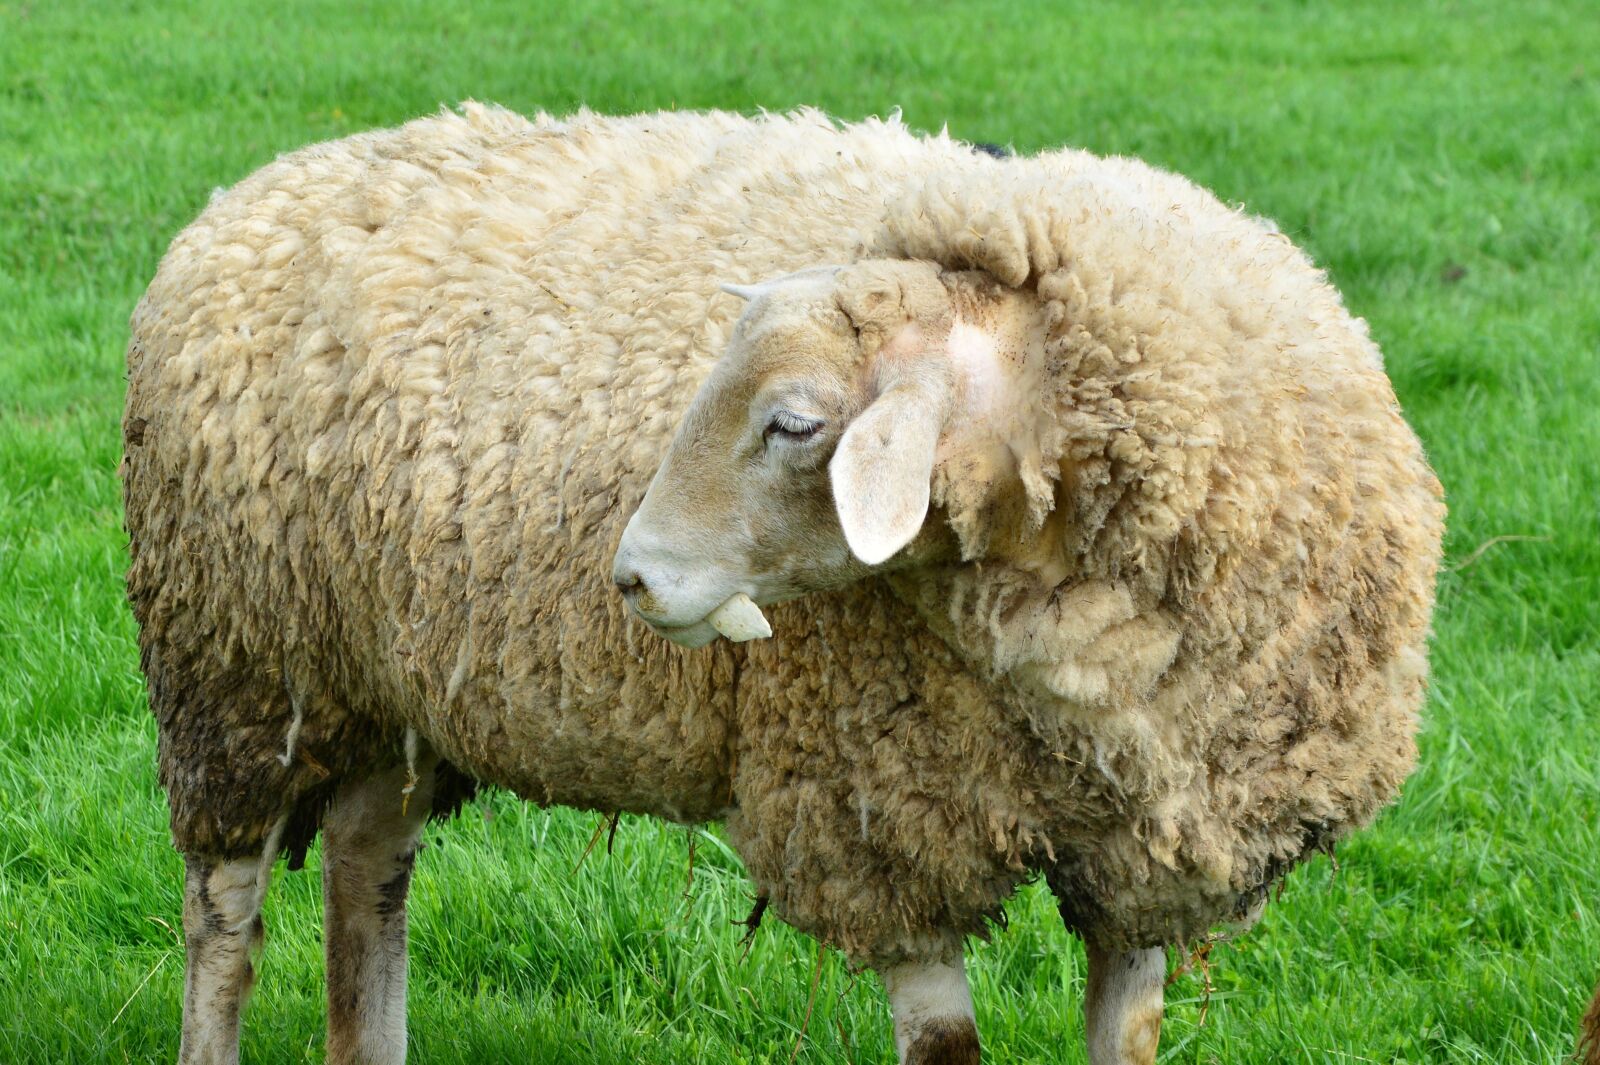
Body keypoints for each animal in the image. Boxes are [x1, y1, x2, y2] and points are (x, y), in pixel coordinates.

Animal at [123, 102, 1442, 1065]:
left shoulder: (1149, 859)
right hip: (234, 666)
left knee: (367, 863)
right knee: (224, 914)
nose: (631, 577)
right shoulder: (874, 819)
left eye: (795, 423)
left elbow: (1130, 1037)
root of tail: (257, 188)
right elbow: (946, 1048)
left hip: (389, 688)